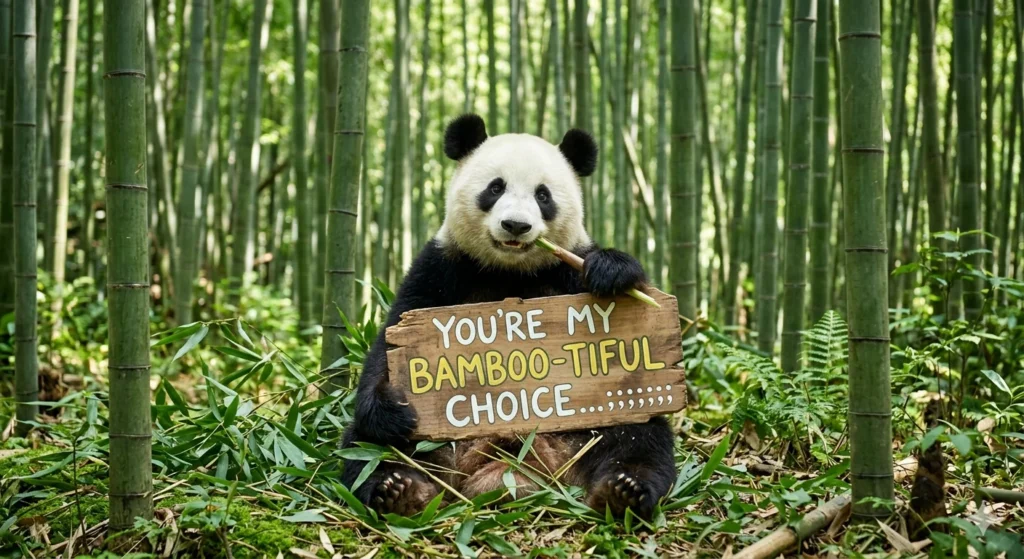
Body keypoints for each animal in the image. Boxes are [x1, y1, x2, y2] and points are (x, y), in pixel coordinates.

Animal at [340, 114, 677, 519]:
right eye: (495, 187)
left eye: (543, 195)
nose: (516, 225)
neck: (509, 271)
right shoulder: (442, 267)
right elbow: (393, 338)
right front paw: (395, 408)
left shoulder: (565, 268)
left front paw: (612, 272)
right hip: (432, 443)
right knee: (368, 449)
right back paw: (399, 489)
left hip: (592, 428)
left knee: (640, 436)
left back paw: (623, 491)